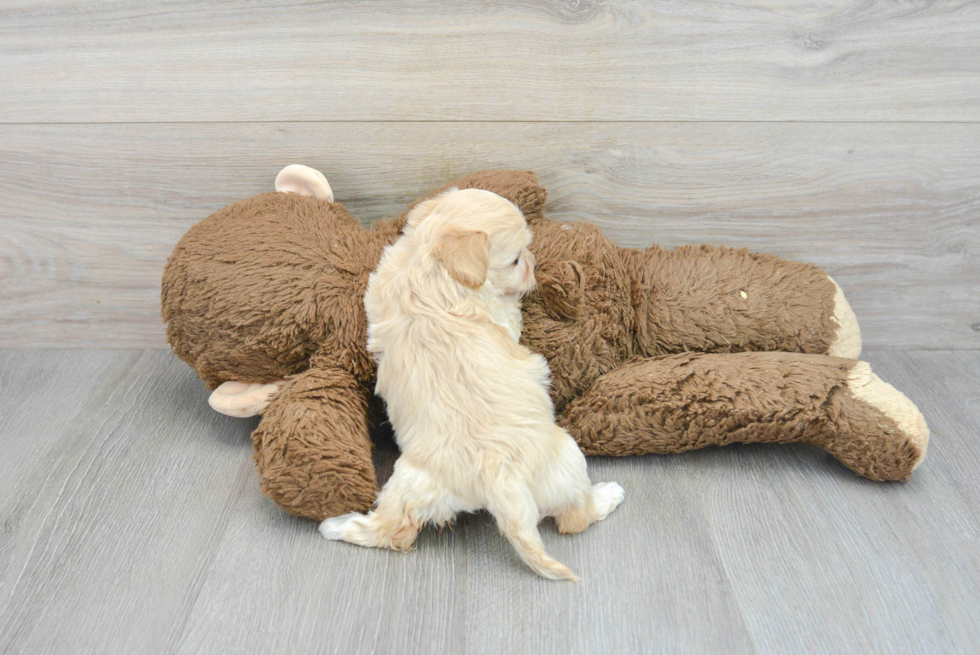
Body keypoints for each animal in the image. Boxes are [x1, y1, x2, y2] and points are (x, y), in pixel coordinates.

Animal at [322, 188, 628, 580]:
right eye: (516, 260)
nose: (533, 262)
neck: (431, 266)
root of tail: (496, 473)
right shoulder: (502, 315)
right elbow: (512, 314)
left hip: (410, 483)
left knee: (391, 531)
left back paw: (335, 525)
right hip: (568, 459)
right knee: (574, 518)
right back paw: (607, 495)